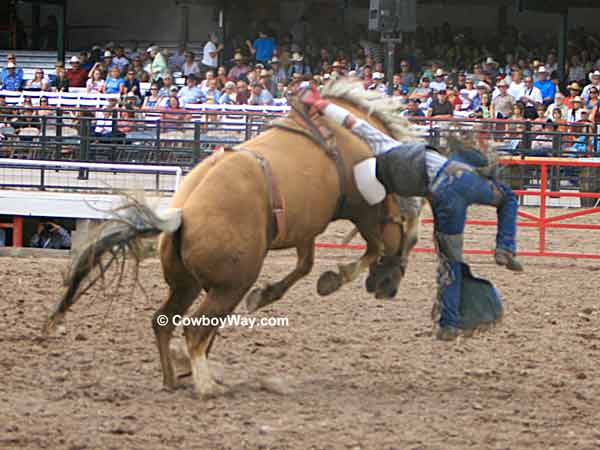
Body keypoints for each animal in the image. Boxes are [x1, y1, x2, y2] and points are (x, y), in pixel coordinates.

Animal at [43, 81, 422, 398]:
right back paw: (207, 385)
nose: (388, 289)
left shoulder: (306, 227)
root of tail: (182, 214)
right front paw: (332, 279)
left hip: (187, 285)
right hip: (230, 285)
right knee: (194, 330)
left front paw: (269, 294)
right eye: (415, 239)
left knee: (164, 322)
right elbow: (372, 249)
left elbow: (305, 264)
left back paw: (172, 380)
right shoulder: (364, 209)